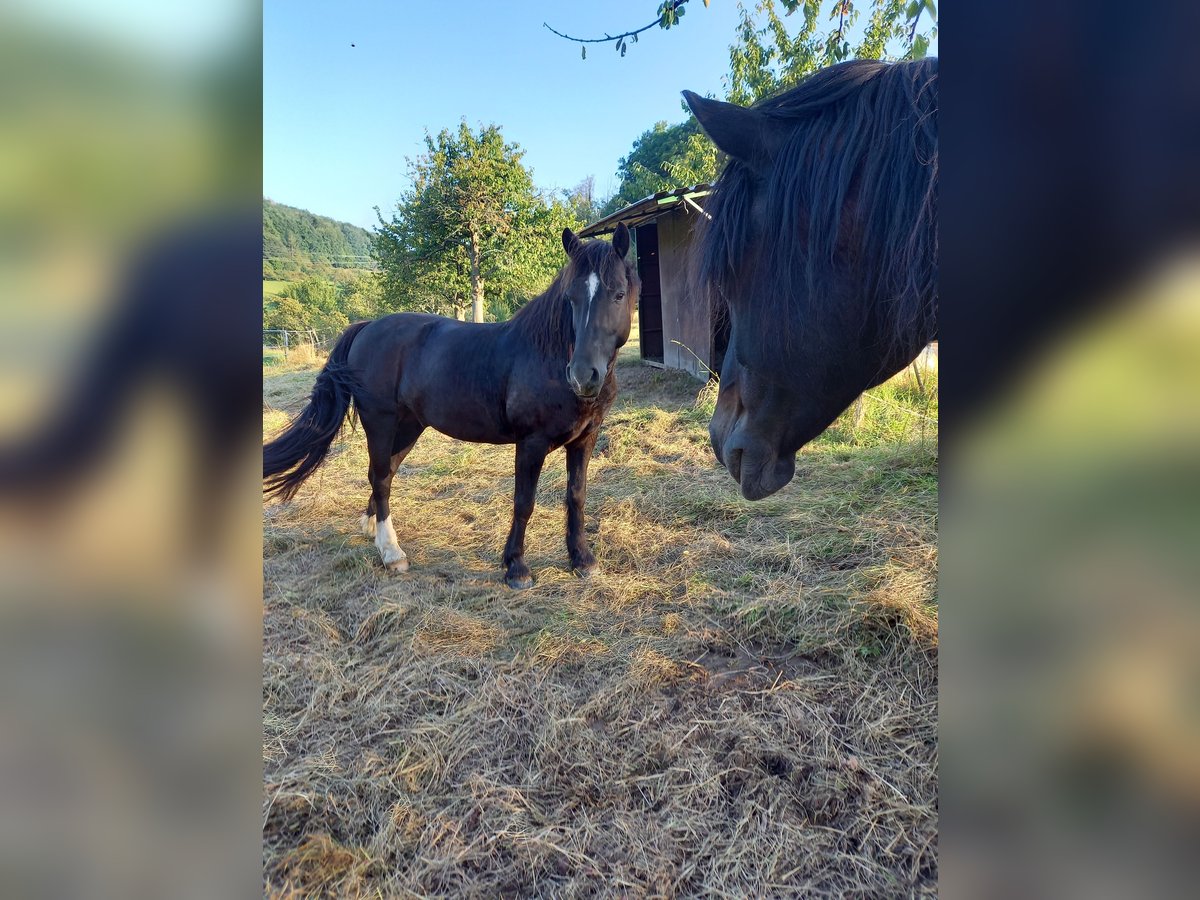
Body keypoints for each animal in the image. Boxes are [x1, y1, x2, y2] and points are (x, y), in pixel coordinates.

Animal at [262, 225, 638, 592]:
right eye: (570, 298)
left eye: (618, 294)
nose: (583, 376)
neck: (548, 356)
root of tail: (367, 326)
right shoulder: (531, 443)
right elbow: (524, 502)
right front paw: (516, 568)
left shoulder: (585, 439)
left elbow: (576, 496)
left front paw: (582, 561)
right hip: (380, 423)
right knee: (381, 477)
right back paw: (392, 552)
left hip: (408, 427)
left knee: (383, 475)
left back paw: (372, 531)